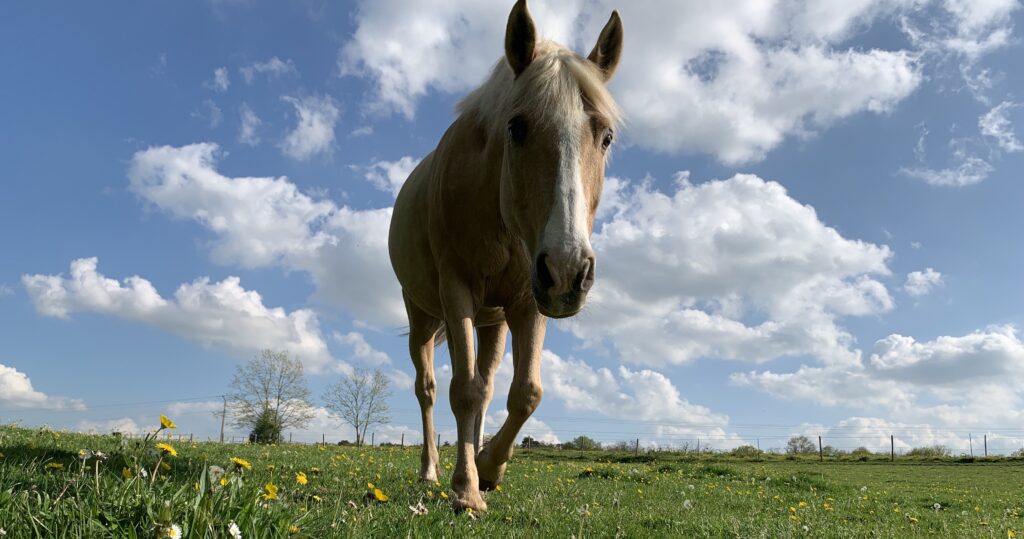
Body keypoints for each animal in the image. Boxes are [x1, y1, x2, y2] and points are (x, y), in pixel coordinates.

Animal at [385, 0, 618, 514]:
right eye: (517, 126)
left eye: (606, 137)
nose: (570, 270)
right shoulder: (457, 290)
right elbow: (462, 391)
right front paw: (467, 491)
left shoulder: (529, 301)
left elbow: (524, 393)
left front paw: (488, 469)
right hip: (422, 314)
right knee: (430, 390)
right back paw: (432, 472)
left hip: (493, 319)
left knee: (487, 384)